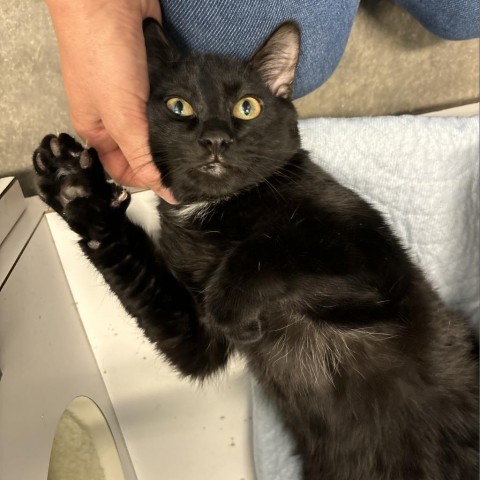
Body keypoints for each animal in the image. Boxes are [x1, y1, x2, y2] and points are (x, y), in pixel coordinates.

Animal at [31, 19, 478, 480]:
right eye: (179, 106)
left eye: (248, 107)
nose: (215, 138)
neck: (216, 208)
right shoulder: (196, 340)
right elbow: (135, 266)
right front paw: (76, 187)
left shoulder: (368, 262)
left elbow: (270, 247)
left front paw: (231, 307)